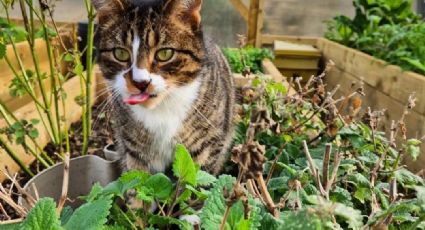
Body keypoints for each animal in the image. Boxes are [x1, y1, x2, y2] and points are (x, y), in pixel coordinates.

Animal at [92, 0, 235, 175]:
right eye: (120, 53)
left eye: (165, 53)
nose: (141, 82)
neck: (161, 109)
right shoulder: (134, 151)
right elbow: (137, 178)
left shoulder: (207, 146)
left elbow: (196, 178)